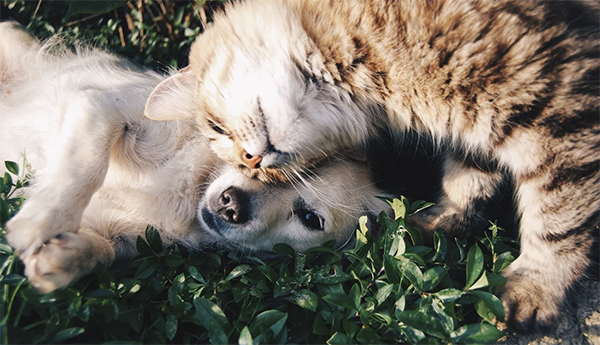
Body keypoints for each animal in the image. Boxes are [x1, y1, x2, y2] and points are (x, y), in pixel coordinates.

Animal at [0, 20, 390, 290]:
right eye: (252, 157)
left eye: (310, 219)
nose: (232, 205)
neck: (190, 190)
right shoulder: (101, 106)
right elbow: (85, 167)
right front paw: (41, 220)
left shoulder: (125, 238)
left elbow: (104, 252)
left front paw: (62, 259)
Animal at [144, 0, 600, 330]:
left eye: (217, 128)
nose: (253, 161)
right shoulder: (478, 127)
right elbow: (467, 180)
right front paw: (441, 222)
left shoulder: (558, 112)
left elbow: (558, 220)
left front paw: (536, 288)